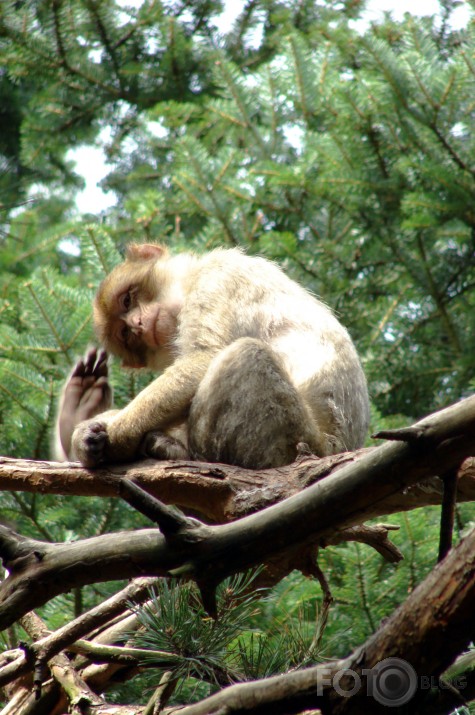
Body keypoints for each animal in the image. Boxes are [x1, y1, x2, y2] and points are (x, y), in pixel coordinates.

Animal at [60, 243, 372, 472]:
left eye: (127, 300)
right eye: (126, 334)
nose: (138, 325)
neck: (189, 281)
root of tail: (341, 446)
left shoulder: (216, 276)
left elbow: (202, 360)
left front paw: (116, 438)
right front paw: (84, 432)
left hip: (296, 441)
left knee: (245, 354)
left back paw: (192, 455)